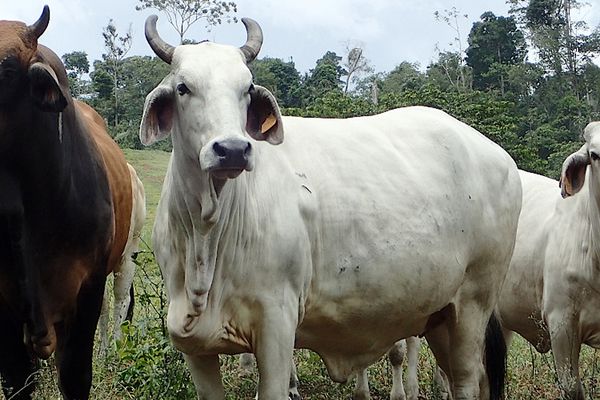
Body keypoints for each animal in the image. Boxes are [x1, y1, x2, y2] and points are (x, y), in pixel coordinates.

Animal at [139, 15, 520, 400]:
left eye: (246, 89)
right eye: (183, 87)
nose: (232, 149)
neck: (207, 233)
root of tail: (499, 156)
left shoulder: (277, 324)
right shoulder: (193, 343)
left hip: (472, 305)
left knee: (467, 381)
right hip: (439, 318)